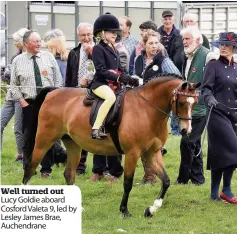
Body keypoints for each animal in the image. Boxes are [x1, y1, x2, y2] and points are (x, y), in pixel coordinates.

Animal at [22, 75, 200, 218]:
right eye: (182, 102)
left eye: (195, 103)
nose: (186, 130)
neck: (147, 110)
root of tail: (53, 92)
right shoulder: (132, 153)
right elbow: (128, 183)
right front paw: (124, 211)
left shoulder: (152, 153)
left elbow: (166, 181)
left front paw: (152, 209)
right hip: (44, 140)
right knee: (30, 167)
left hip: (73, 145)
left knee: (69, 174)